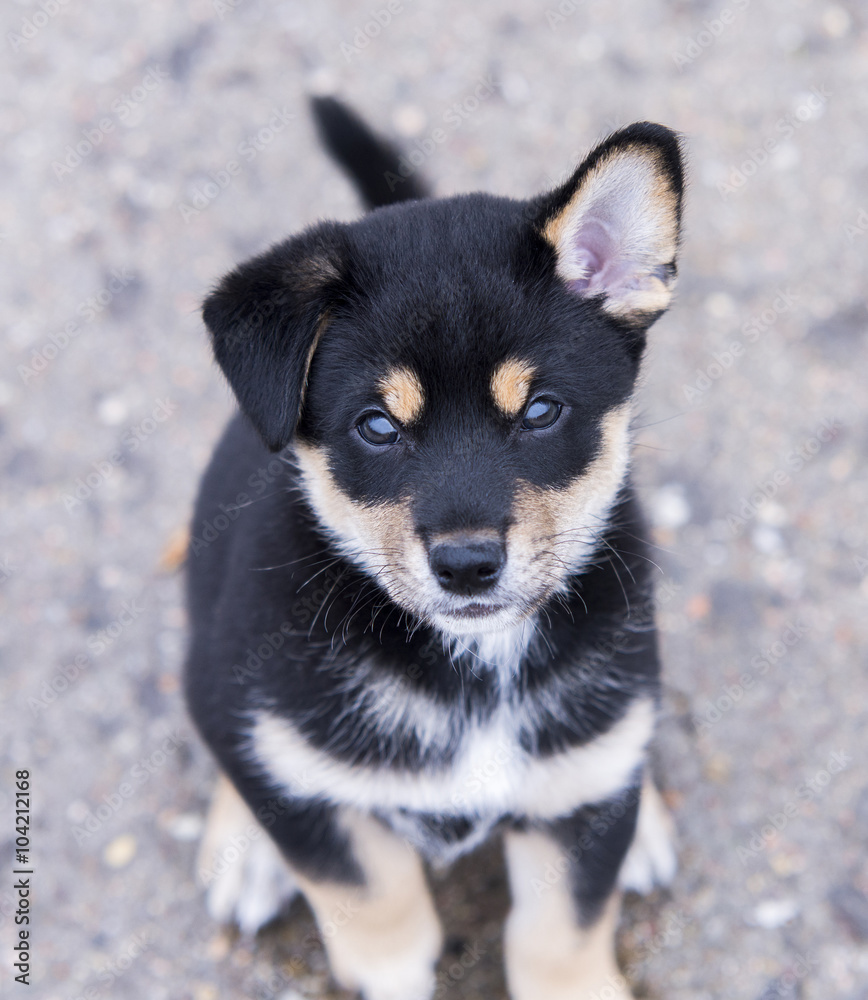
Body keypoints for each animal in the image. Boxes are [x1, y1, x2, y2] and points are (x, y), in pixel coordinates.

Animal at [188, 99, 684, 1000]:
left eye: (542, 411)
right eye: (377, 426)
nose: (466, 565)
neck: (472, 665)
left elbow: (560, 940)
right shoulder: (316, 812)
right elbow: (374, 909)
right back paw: (244, 855)